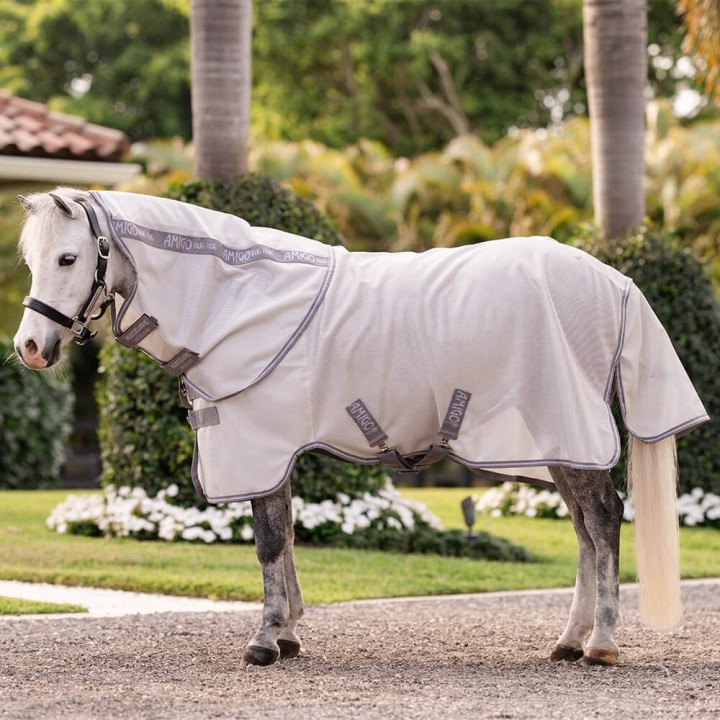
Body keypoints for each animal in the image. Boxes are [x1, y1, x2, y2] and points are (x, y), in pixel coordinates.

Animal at [13, 188, 708, 668]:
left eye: (69, 257)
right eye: (29, 257)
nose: (30, 348)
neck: (235, 298)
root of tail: (613, 280)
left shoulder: (260, 445)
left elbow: (268, 543)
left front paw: (265, 640)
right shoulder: (275, 451)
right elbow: (286, 537)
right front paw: (289, 632)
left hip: (569, 435)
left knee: (604, 522)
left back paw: (601, 644)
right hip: (558, 446)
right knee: (587, 532)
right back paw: (568, 641)